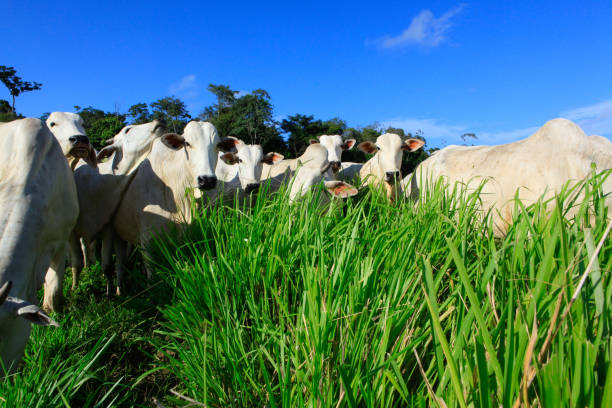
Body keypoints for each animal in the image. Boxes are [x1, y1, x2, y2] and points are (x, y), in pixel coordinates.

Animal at [69, 119, 166, 294]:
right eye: (127, 130)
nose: (160, 120)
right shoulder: (72, 231)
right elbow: (76, 265)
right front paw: (74, 289)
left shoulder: (108, 228)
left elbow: (107, 266)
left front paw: (111, 292)